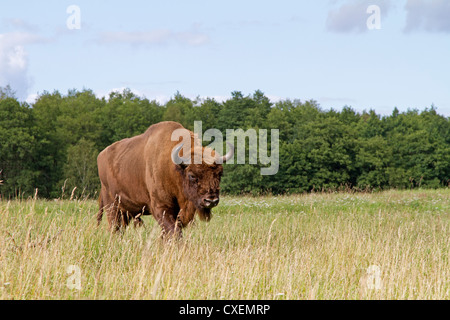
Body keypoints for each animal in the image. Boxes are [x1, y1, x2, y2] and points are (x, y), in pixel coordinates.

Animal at [96, 121, 234, 236]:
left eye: (220, 174)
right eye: (192, 175)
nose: (211, 200)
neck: (174, 168)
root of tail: (101, 155)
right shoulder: (161, 208)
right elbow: (173, 232)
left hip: (127, 211)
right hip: (113, 206)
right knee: (114, 227)